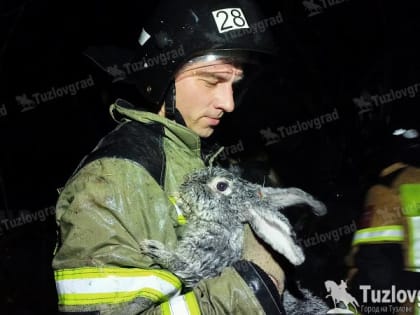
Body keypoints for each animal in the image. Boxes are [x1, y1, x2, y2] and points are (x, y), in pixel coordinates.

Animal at [141, 167, 332, 314]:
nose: (188, 179)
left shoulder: (201, 259)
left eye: (221, 185)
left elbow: (180, 264)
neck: (224, 222)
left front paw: (154, 249)